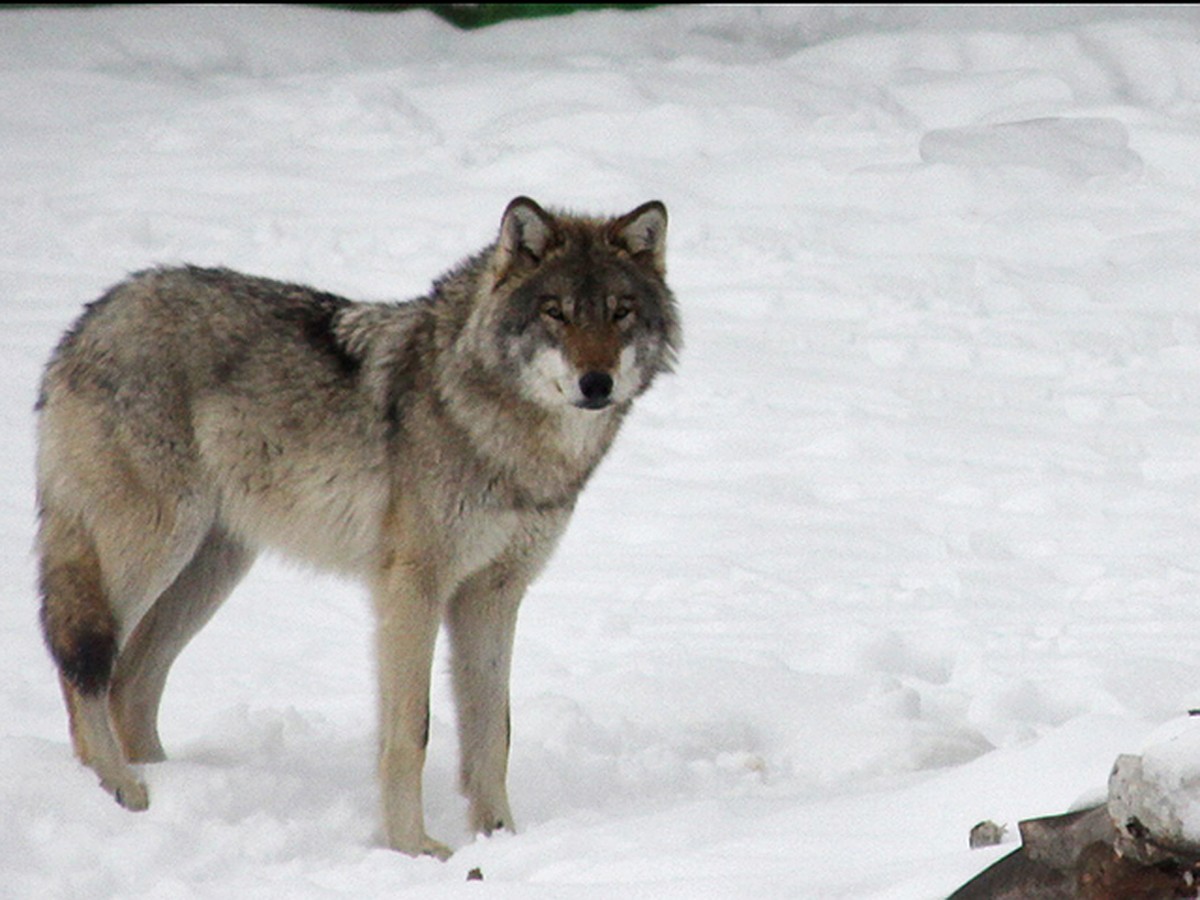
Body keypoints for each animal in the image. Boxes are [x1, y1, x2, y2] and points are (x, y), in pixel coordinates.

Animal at [32, 196, 681, 859]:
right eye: (555, 312)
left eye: (620, 312)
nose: (596, 383)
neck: (501, 435)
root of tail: (90, 318)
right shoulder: (413, 589)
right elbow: (411, 733)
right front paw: (415, 848)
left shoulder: (494, 594)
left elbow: (492, 733)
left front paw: (501, 839)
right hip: (156, 546)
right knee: (81, 662)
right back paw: (120, 786)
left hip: (211, 569)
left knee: (130, 681)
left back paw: (168, 783)